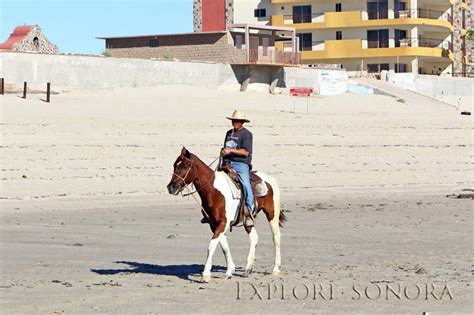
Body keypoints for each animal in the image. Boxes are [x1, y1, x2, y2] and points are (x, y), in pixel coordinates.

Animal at [167, 148, 286, 284]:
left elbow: (211, 246)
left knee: (276, 237)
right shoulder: (214, 224)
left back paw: (275, 269)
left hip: (272, 214)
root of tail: (270, 178)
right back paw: (248, 269)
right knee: (254, 238)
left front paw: (205, 275)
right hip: (248, 220)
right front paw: (229, 271)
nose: (171, 187)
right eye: (174, 165)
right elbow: (224, 246)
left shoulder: (223, 222)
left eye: (185, 166)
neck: (214, 191)